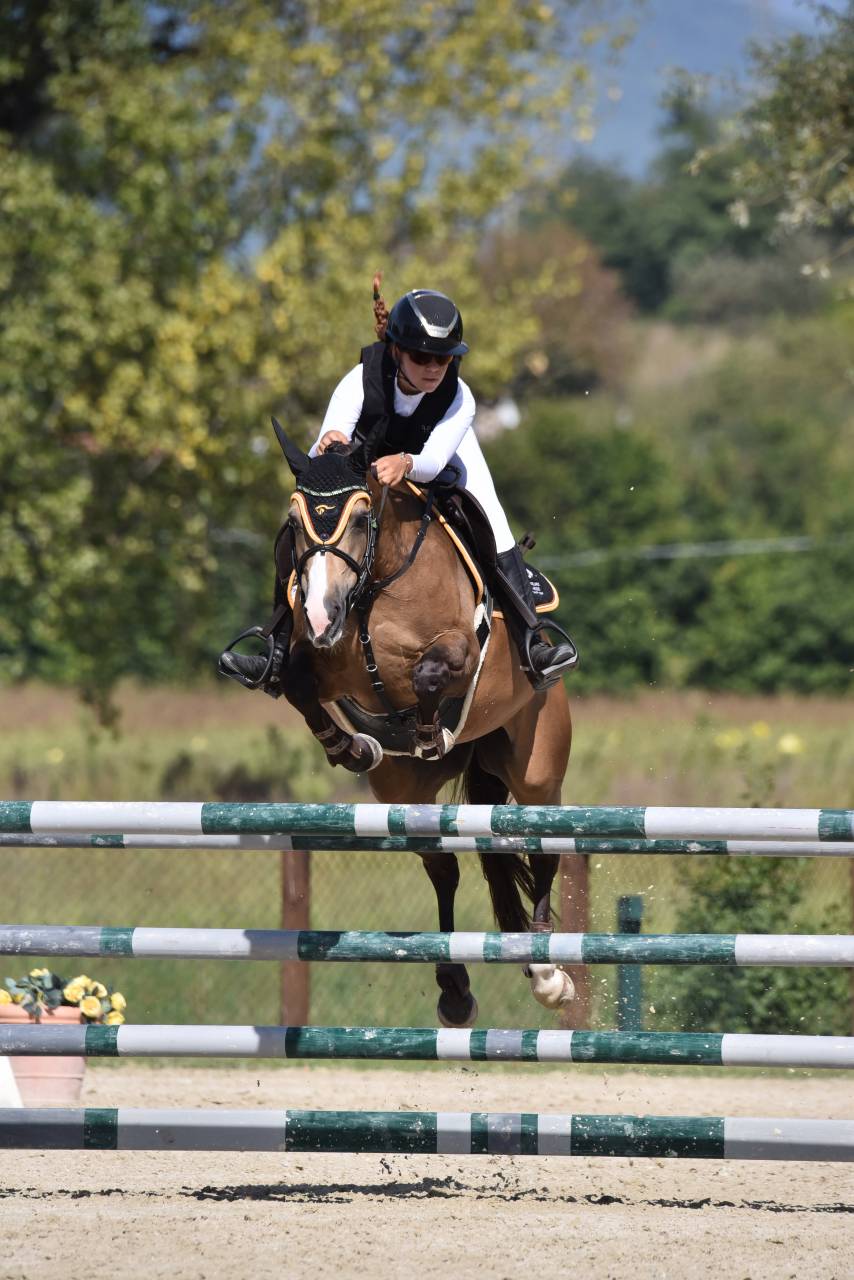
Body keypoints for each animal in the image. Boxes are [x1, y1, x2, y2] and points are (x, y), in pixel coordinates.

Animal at [271, 423, 573, 1028]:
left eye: (362, 517)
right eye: (293, 523)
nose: (318, 614)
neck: (373, 587)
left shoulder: (459, 648)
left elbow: (431, 670)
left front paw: (429, 730)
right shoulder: (314, 659)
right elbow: (295, 682)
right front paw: (351, 746)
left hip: (537, 769)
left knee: (543, 847)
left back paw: (547, 970)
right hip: (403, 792)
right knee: (443, 869)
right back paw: (453, 987)